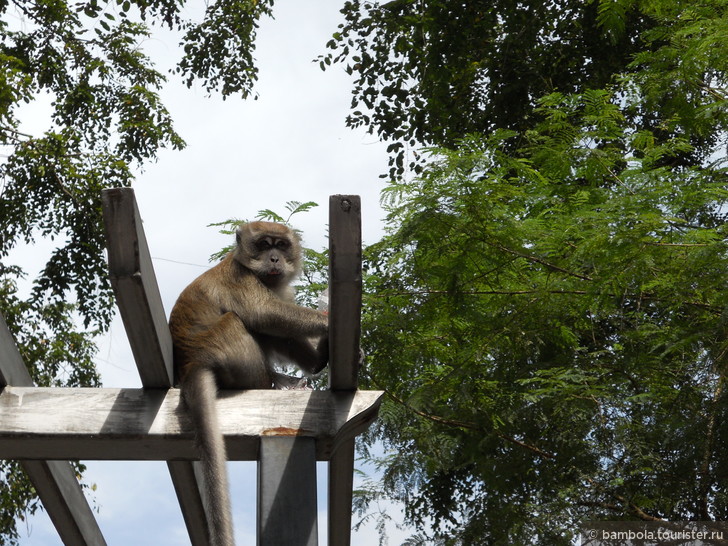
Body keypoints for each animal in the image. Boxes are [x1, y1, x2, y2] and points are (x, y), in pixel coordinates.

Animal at [168, 221, 328, 544]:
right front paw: (326, 321)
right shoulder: (240, 279)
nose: (275, 259)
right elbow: (263, 313)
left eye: (281, 245)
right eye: (264, 245)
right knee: (240, 320)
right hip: (221, 344)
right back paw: (272, 382)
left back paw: (310, 366)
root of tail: (191, 365)